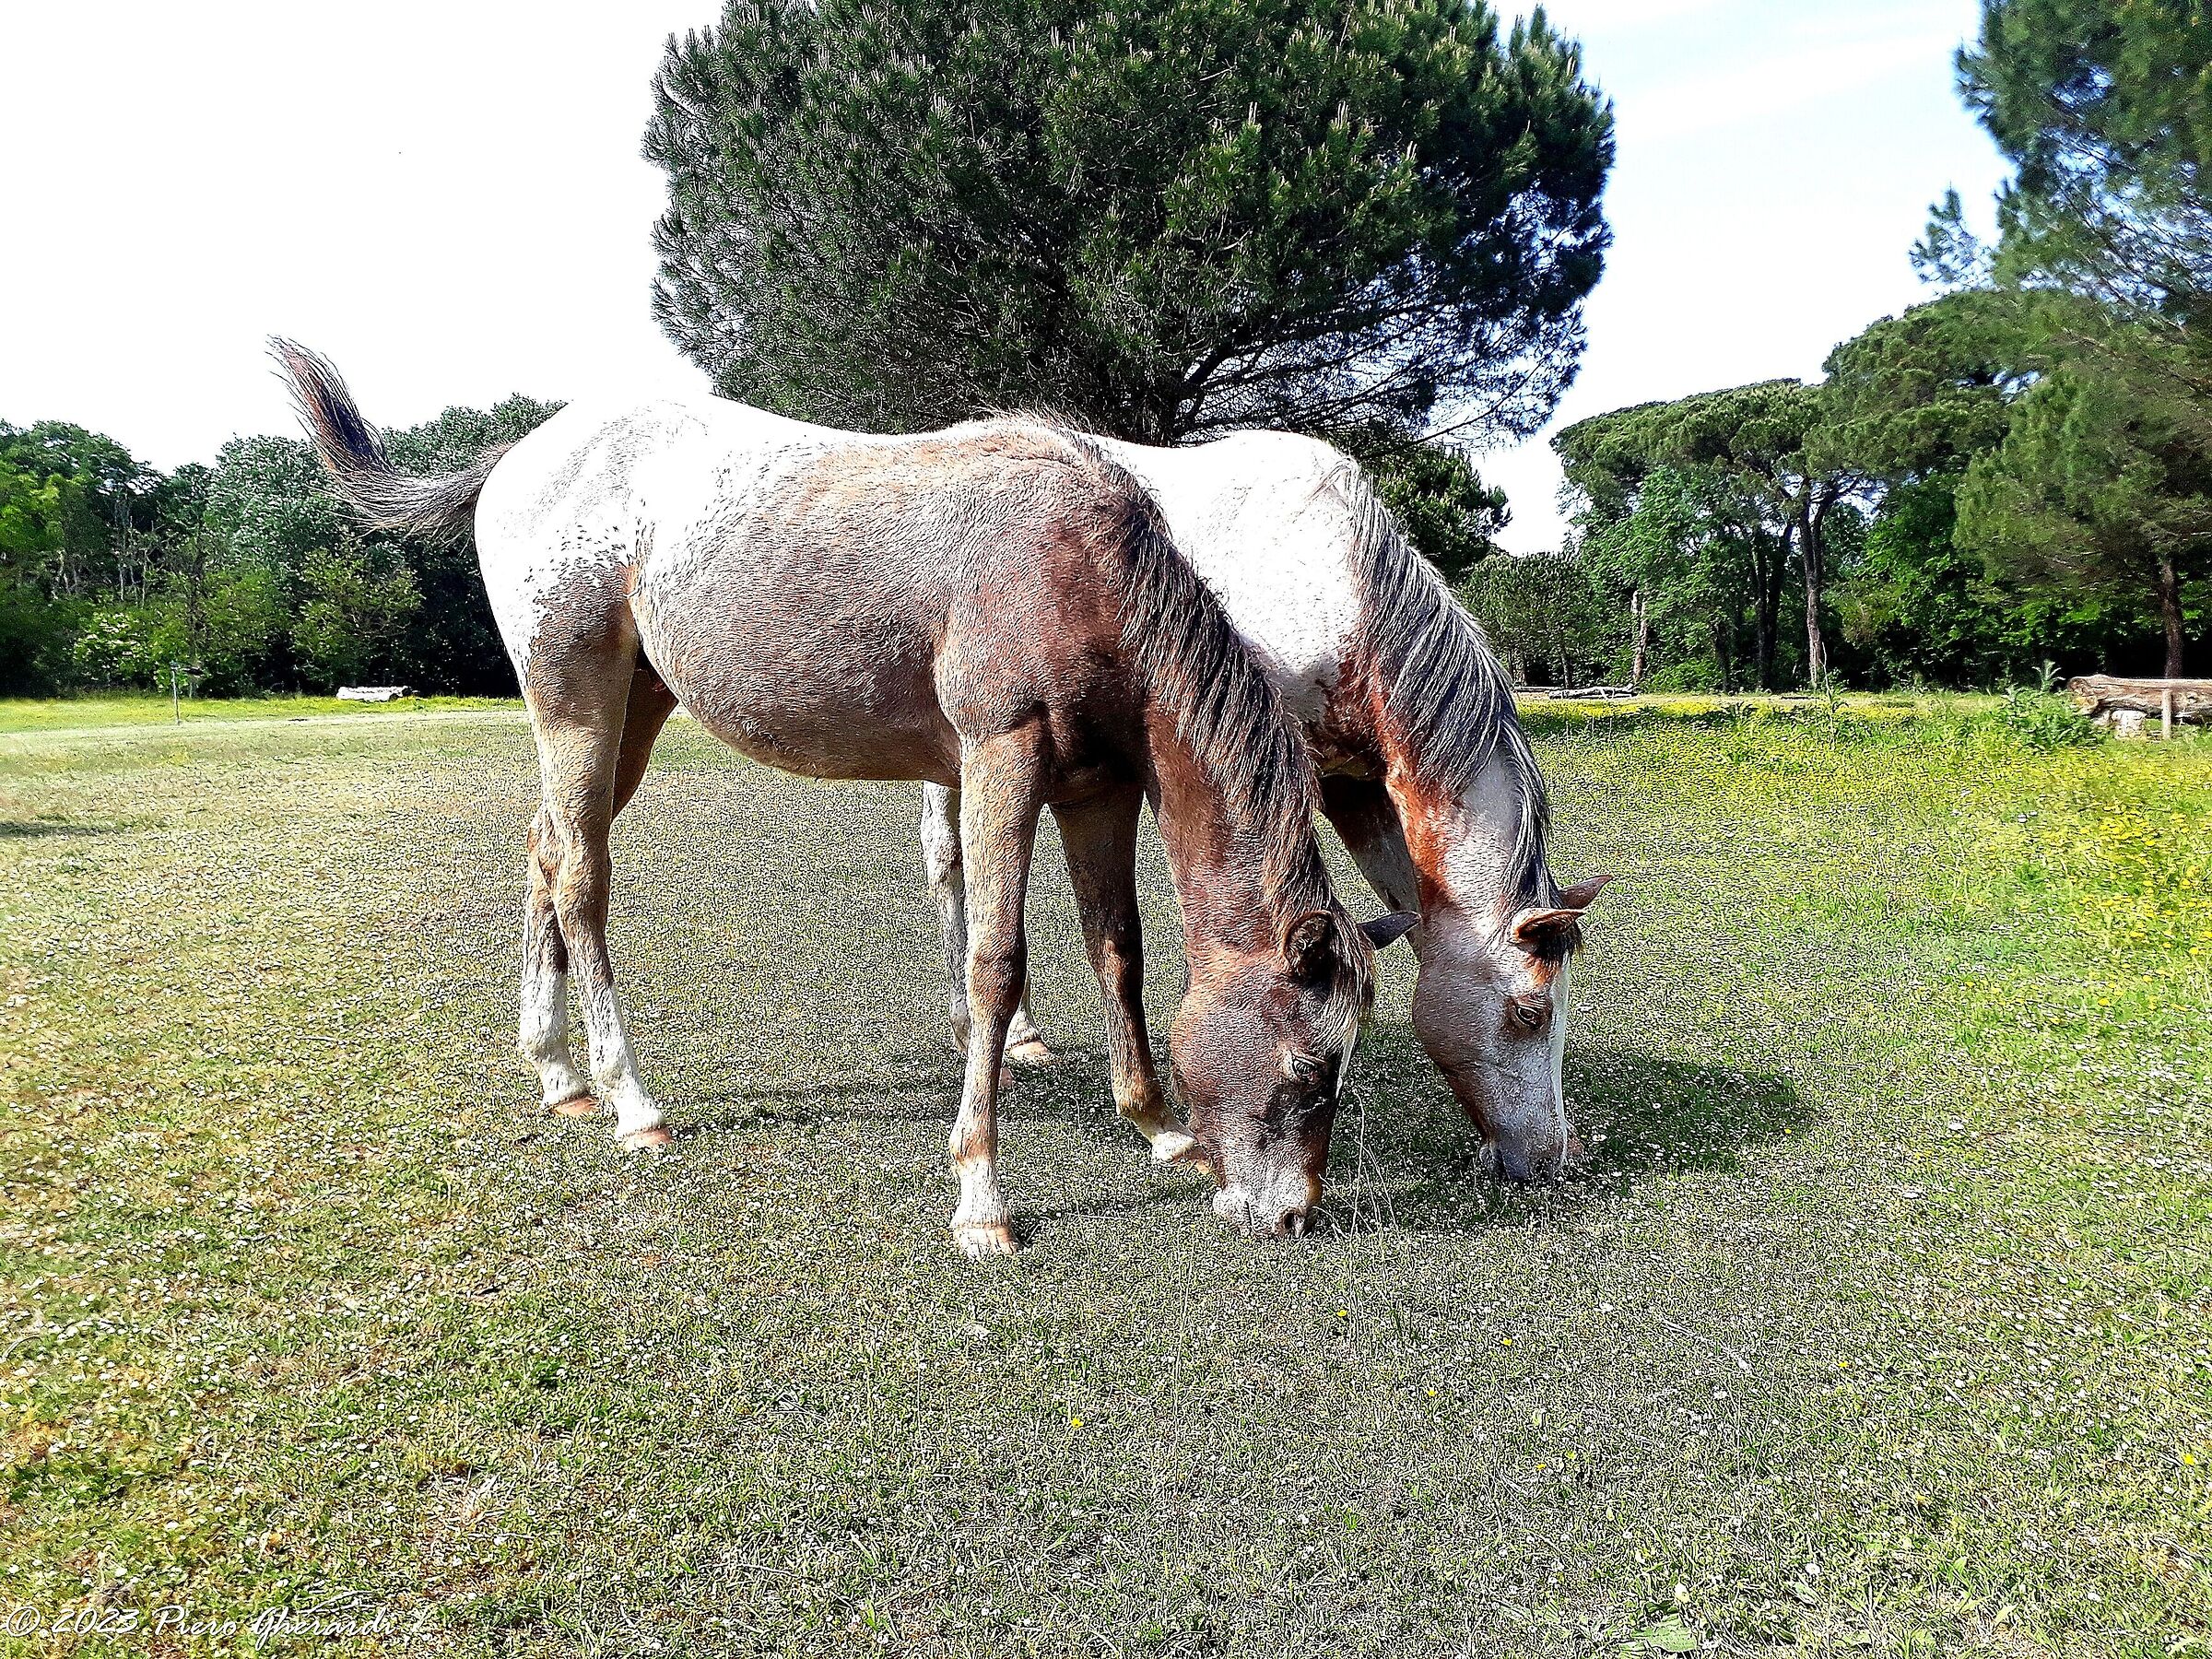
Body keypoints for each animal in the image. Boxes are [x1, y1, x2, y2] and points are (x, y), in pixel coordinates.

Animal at [275, 345, 1414, 1253]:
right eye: (1310, 1069)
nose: (1289, 1214)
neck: (1080, 567)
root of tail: (519, 453)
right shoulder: (1003, 758)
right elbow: (996, 963)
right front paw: (981, 1197)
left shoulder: (1099, 790)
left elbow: (1119, 952)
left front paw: (1158, 1126)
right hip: (575, 703)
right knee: (584, 879)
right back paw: (630, 1097)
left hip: (631, 711)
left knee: (548, 850)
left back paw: (557, 1072)